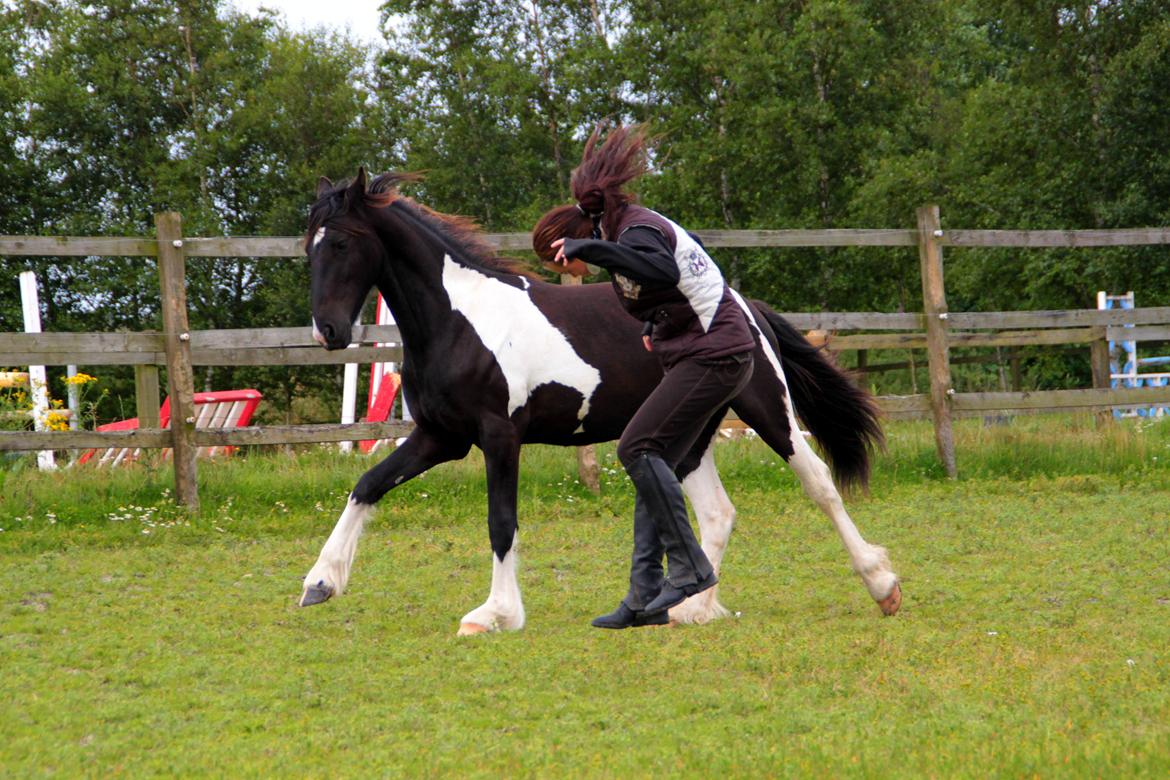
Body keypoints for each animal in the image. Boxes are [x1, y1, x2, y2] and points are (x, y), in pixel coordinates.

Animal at [297, 170, 898, 636]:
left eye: (342, 243)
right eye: (309, 247)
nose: (327, 331)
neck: (459, 321)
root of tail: (745, 306)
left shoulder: (499, 435)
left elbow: (501, 521)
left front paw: (496, 614)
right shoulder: (439, 437)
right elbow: (367, 485)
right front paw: (320, 582)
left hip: (767, 407)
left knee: (818, 482)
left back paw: (882, 583)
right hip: (690, 429)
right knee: (716, 512)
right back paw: (695, 609)